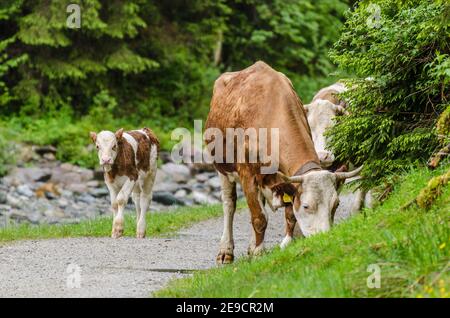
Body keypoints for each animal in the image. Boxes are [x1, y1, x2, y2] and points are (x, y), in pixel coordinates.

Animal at [206, 61, 360, 264]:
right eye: (306, 206)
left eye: (336, 205)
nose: (324, 238)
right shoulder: (247, 174)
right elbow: (259, 218)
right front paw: (258, 253)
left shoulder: (288, 180)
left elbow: (288, 214)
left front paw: (283, 245)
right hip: (223, 169)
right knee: (229, 204)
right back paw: (226, 251)